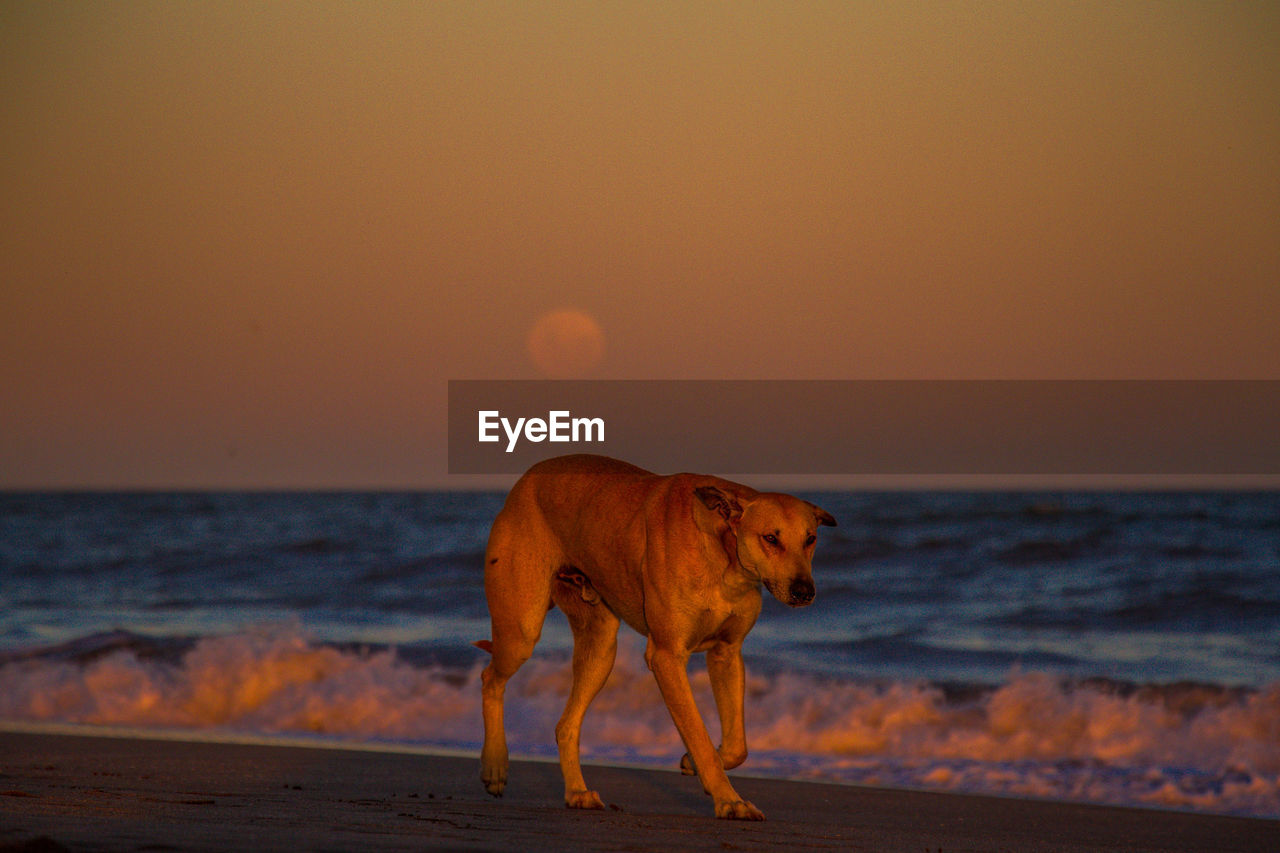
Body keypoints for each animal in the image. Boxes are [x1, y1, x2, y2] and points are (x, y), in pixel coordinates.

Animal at [476, 450, 834, 819]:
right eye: (771, 538)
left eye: (810, 539)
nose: (805, 592)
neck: (723, 553)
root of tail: (526, 480)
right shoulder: (667, 657)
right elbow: (700, 736)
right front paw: (728, 800)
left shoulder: (727, 653)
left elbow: (737, 746)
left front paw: (695, 764)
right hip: (521, 630)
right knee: (491, 678)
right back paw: (494, 766)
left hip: (600, 647)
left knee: (566, 725)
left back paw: (576, 792)